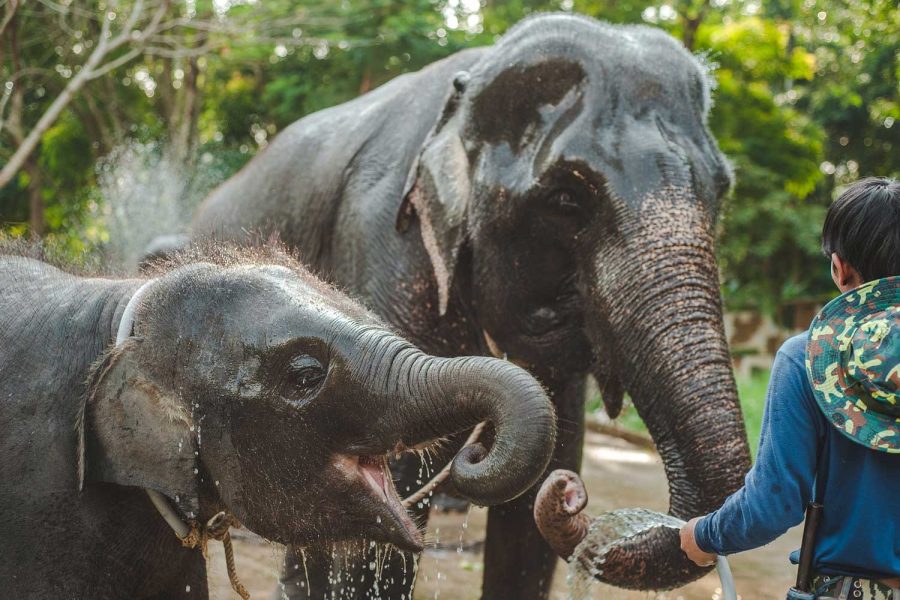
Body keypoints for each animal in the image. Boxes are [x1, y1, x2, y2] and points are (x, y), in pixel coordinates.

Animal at [195, 14, 752, 600]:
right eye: (567, 200)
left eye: (720, 191)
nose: (572, 495)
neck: (472, 81)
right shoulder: (382, 244)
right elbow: (362, 538)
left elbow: (528, 526)